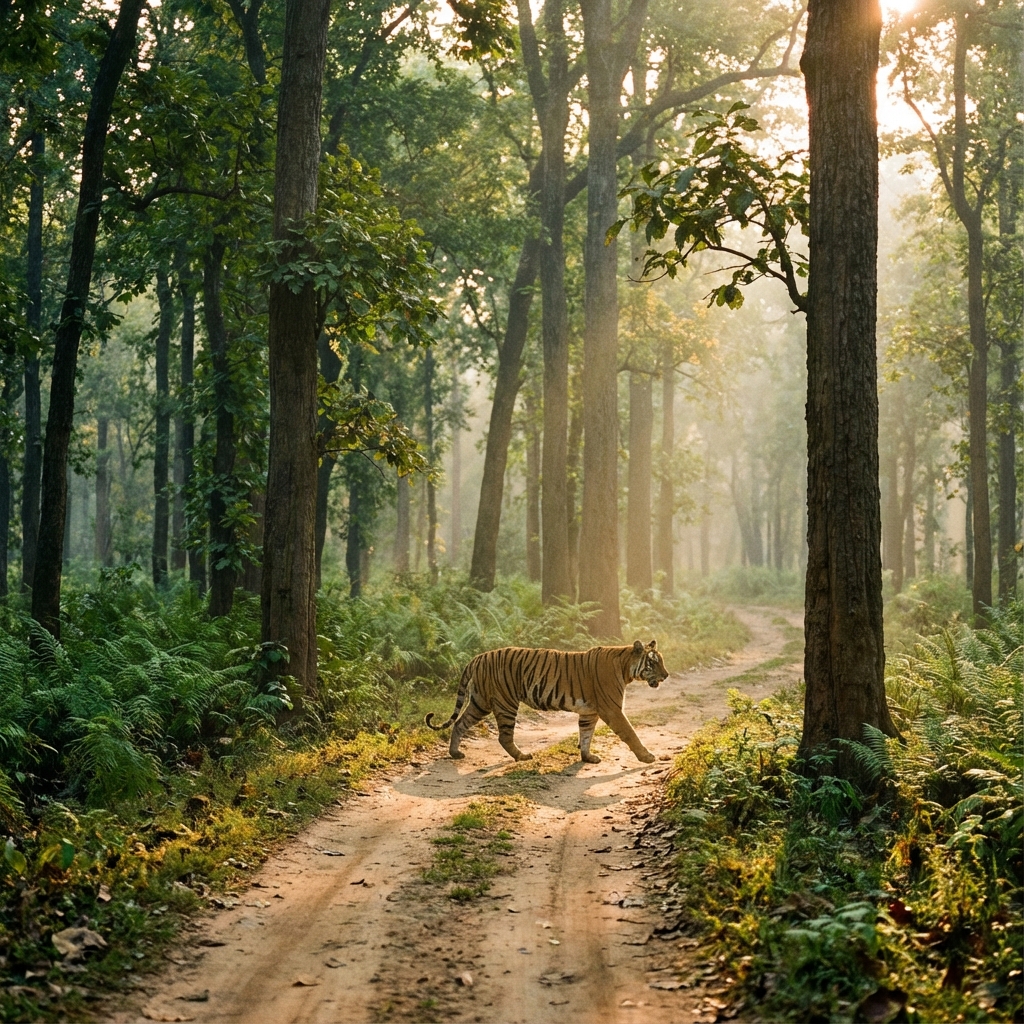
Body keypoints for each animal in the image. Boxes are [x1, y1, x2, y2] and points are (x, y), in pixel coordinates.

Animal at [425, 639, 669, 765]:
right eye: (653, 663)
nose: (666, 675)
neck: (626, 666)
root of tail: (477, 657)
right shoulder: (612, 709)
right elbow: (630, 733)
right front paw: (647, 756)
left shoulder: (589, 712)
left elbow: (586, 735)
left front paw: (587, 757)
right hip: (505, 702)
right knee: (504, 736)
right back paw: (522, 756)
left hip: (479, 702)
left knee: (460, 723)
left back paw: (455, 753)